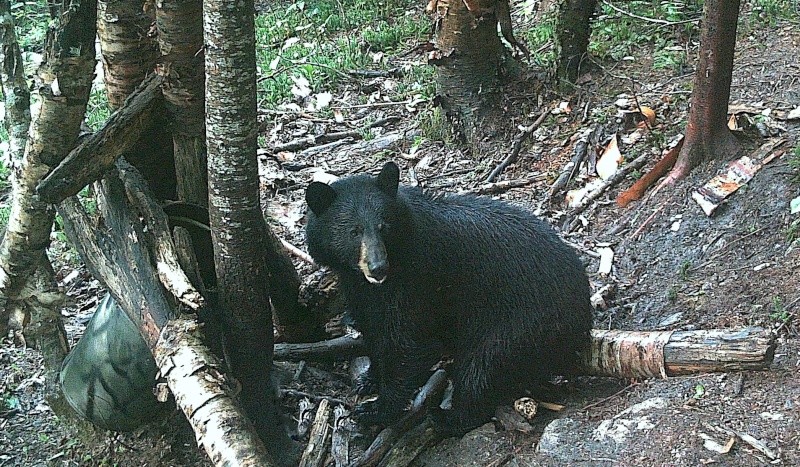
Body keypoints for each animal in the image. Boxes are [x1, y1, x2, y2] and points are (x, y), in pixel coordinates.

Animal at [306, 162, 592, 436]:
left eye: (384, 226)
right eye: (353, 232)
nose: (378, 268)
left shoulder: (418, 277)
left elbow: (410, 342)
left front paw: (375, 409)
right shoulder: (358, 287)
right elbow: (374, 329)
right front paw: (368, 378)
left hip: (523, 323)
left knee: (483, 366)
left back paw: (448, 417)